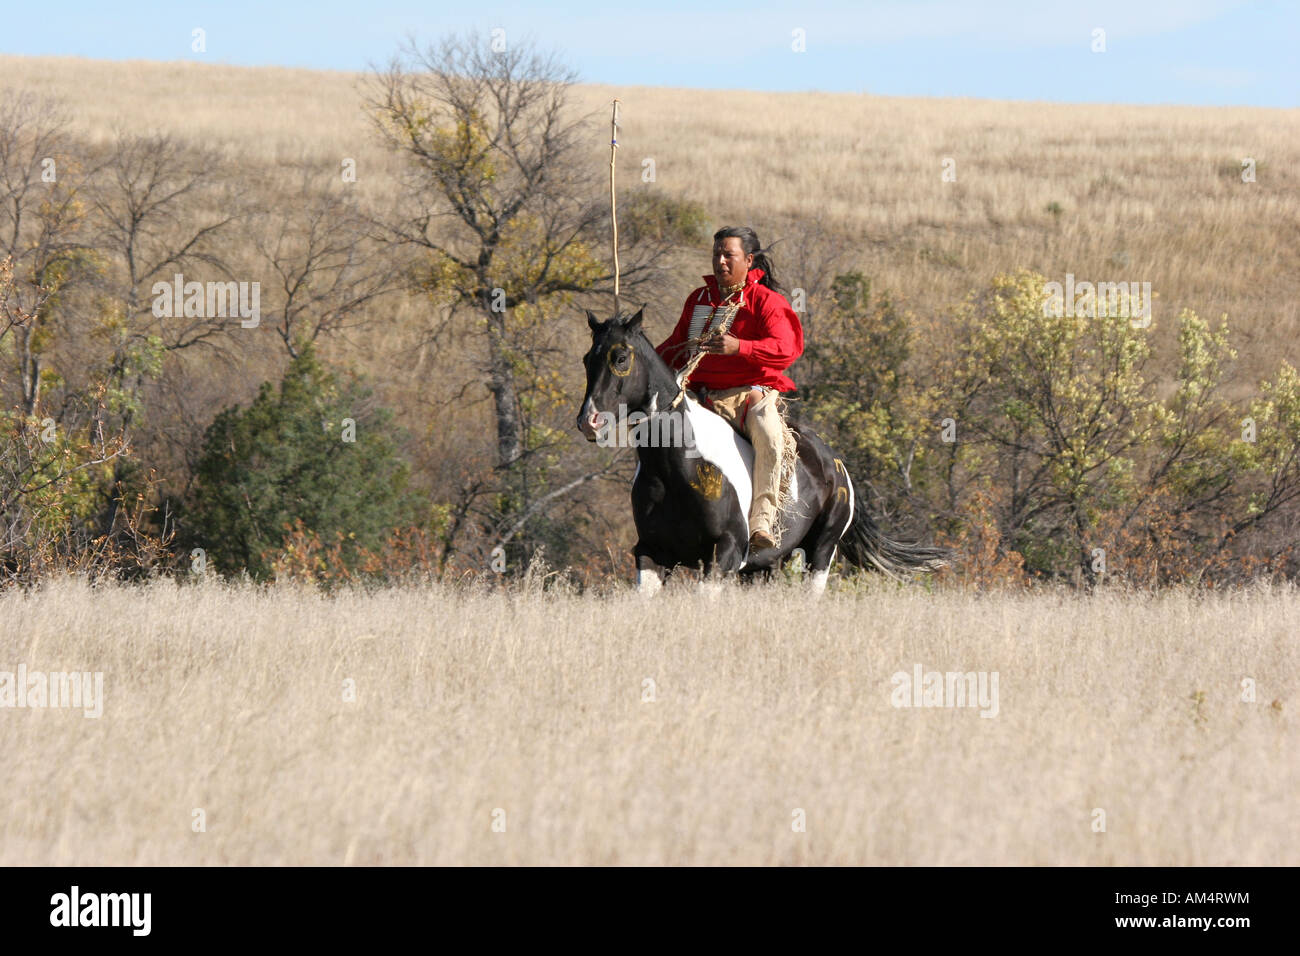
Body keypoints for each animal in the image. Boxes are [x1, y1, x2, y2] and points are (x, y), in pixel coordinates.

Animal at [574, 308, 951, 590]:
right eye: (586, 359)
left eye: (621, 357)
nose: (588, 420)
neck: (678, 468)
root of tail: (837, 465)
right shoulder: (652, 553)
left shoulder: (724, 554)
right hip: (765, 567)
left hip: (820, 551)